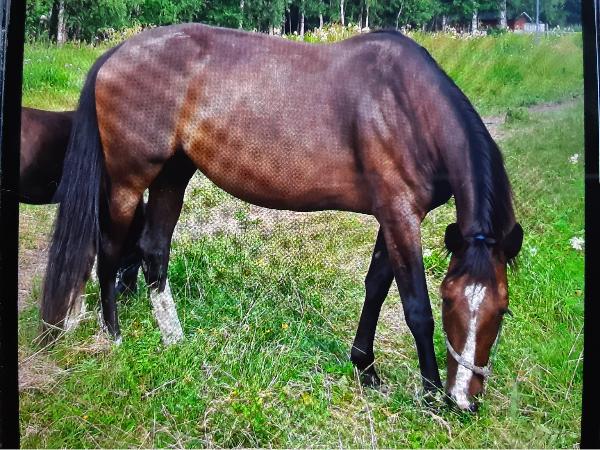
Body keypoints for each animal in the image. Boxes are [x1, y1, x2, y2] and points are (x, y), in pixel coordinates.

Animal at [41, 24, 523, 411]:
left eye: (501, 308)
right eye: (450, 301)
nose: (463, 400)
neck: (407, 105)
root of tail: (116, 53)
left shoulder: (393, 215)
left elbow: (375, 288)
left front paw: (365, 369)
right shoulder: (401, 216)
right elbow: (414, 308)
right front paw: (427, 394)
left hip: (172, 174)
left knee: (153, 251)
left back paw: (175, 340)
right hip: (127, 183)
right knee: (108, 253)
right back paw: (114, 337)